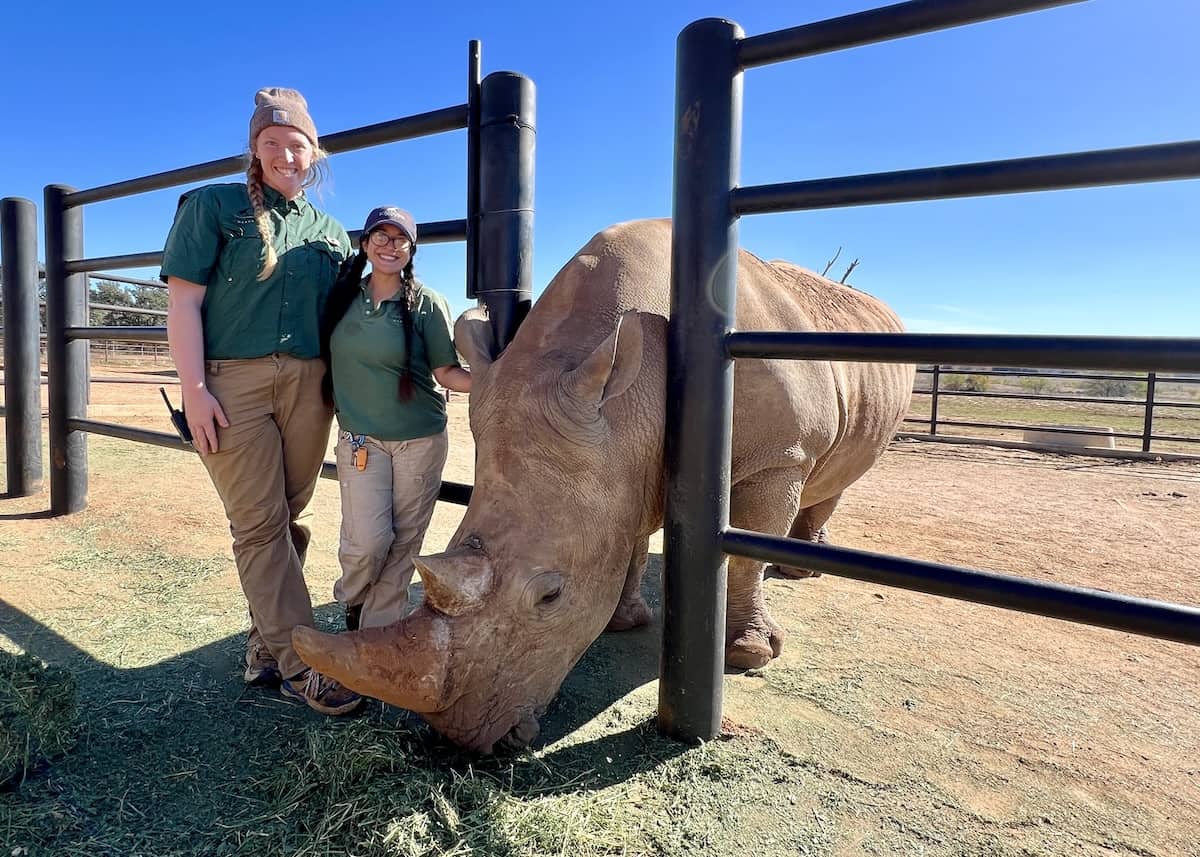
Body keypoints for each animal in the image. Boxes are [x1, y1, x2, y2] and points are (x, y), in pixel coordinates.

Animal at [293, 218, 914, 753]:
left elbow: (742, 557)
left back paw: (798, 569)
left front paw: (747, 655)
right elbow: (628, 539)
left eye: (550, 596)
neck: (636, 392)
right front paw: (624, 620)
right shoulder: (621, 459)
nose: (458, 738)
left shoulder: (778, 456)